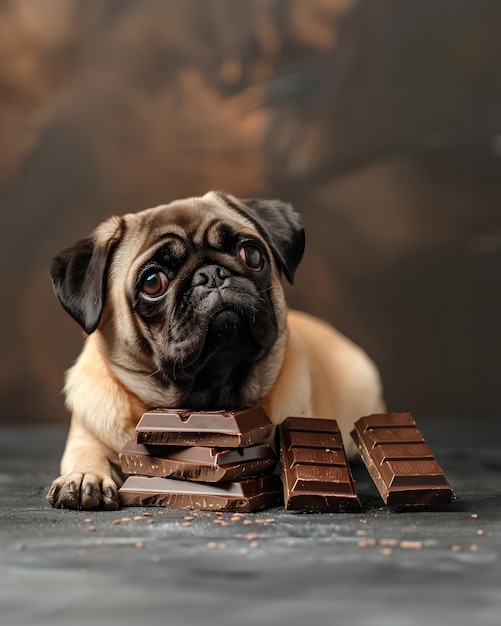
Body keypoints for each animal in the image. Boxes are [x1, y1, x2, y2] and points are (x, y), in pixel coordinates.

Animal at [47, 190, 382, 508]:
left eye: (253, 255)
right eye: (153, 282)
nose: (211, 275)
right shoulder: (85, 438)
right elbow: (88, 453)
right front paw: (84, 476)